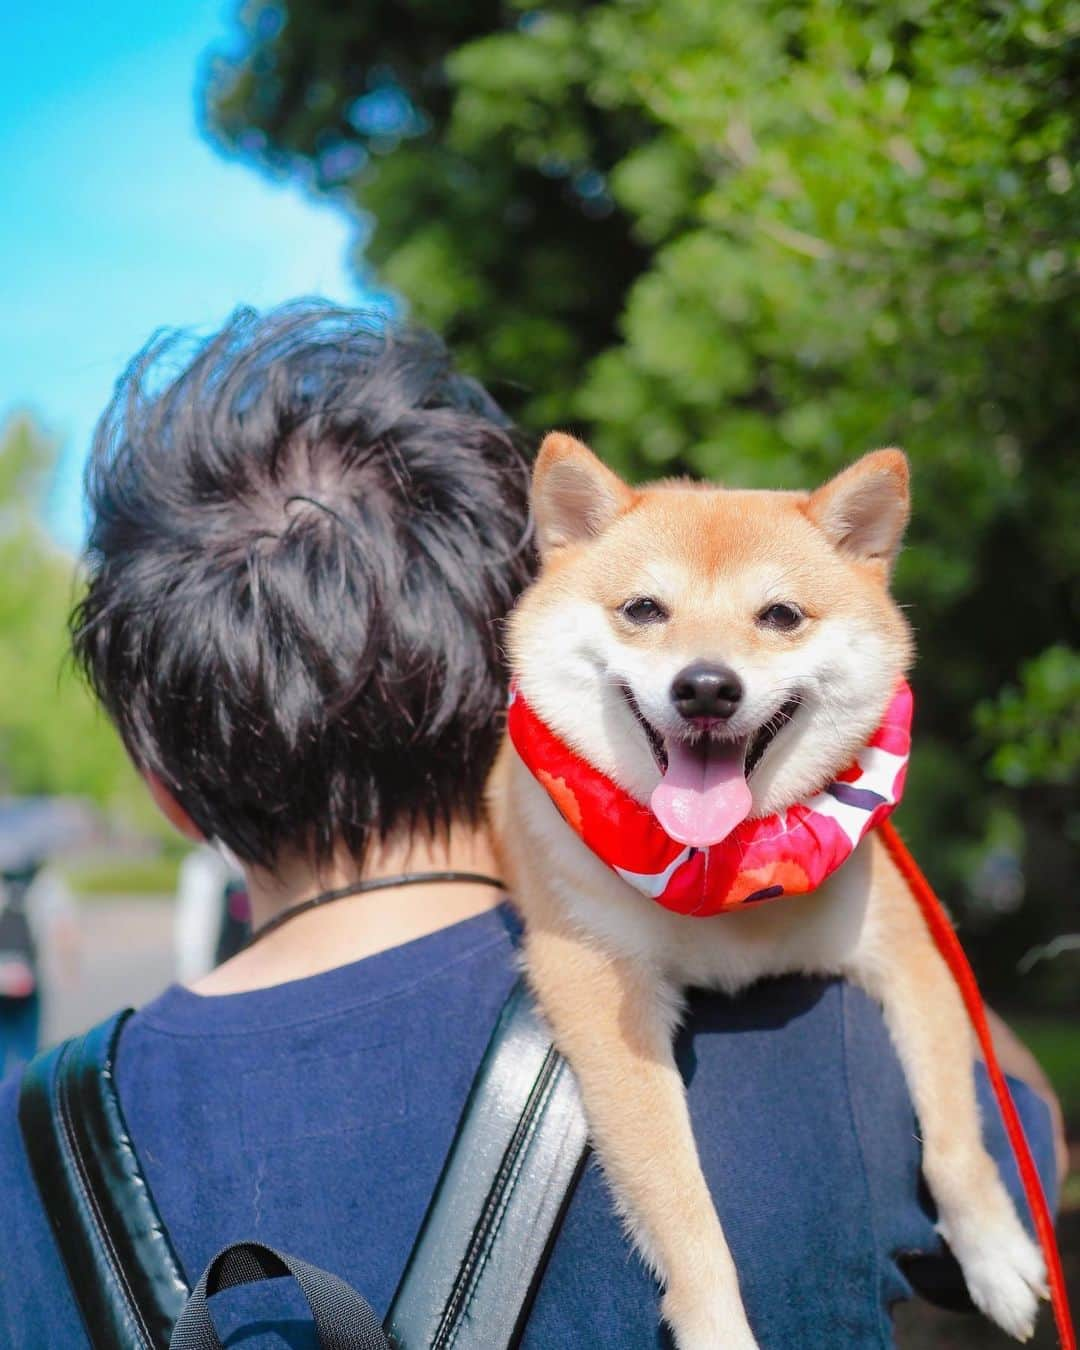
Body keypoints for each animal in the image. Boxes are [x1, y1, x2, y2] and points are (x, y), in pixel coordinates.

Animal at [488, 434, 1047, 1350]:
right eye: (644, 609)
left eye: (780, 616)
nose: (706, 687)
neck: (724, 876)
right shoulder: (601, 992)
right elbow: (684, 1207)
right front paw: (718, 1326)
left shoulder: (908, 949)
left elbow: (956, 1138)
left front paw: (995, 1251)